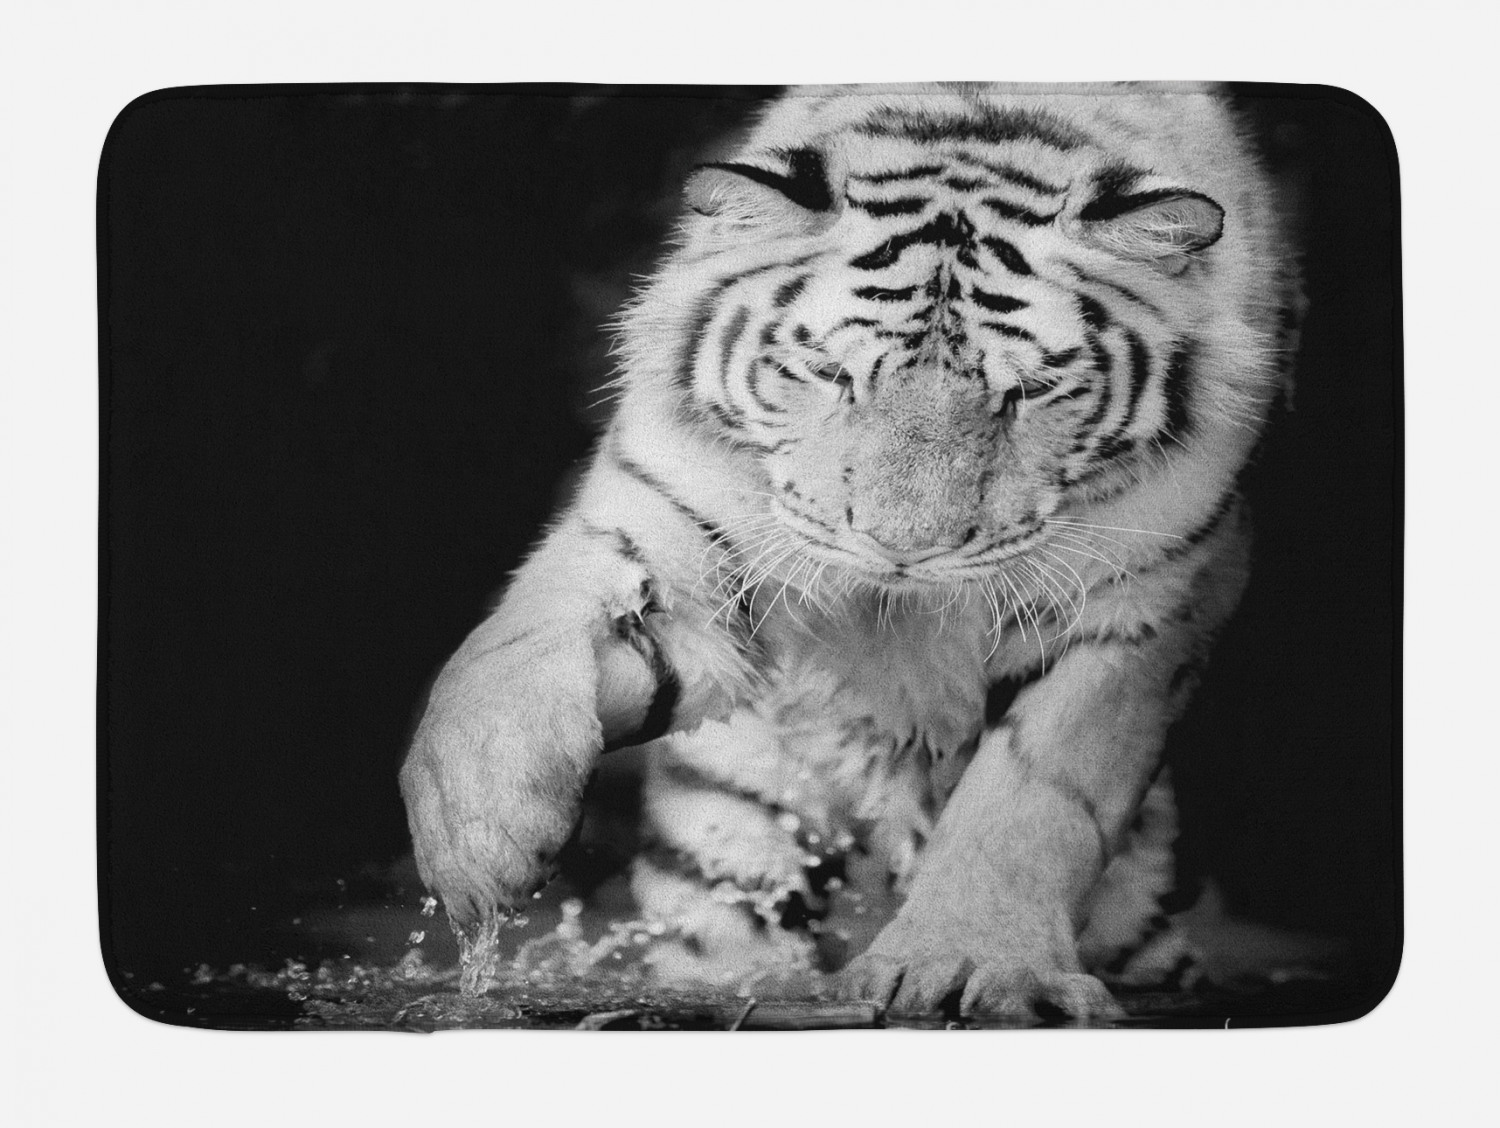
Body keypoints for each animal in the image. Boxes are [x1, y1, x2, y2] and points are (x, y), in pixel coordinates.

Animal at [398, 82, 1302, 1022]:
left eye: (1029, 392)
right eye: (833, 375)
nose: (901, 548)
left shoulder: (1141, 604)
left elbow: (1033, 796)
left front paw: (965, 961)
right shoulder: (666, 524)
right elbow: (510, 651)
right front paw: (477, 848)